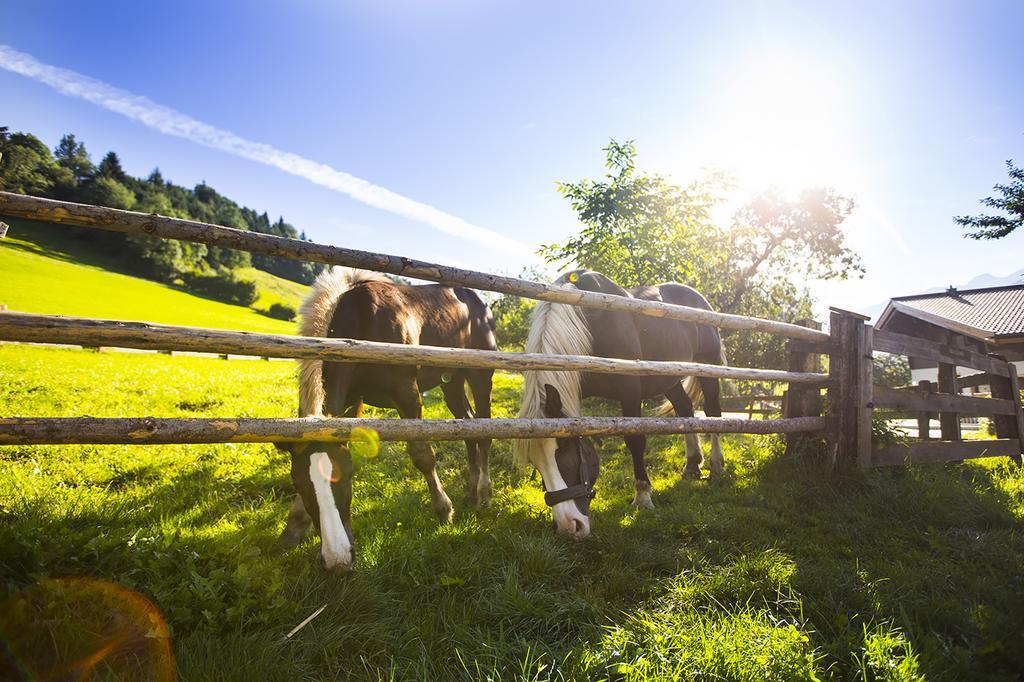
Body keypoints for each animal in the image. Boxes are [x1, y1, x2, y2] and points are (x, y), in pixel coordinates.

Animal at [274, 266, 493, 569]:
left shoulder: (408, 395)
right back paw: (471, 494)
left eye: (345, 477)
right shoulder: (351, 400)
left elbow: (423, 456)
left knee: (484, 430)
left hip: (480, 377)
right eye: (297, 484)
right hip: (451, 382)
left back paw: (483, 494)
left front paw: (443, 510)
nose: (337, 559)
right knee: (469, 425)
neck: (362, 320)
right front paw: (293, 526)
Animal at [512, 268, 729, 532]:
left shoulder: (630, 391)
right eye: (535, 463)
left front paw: (643, 496)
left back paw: (716, 466)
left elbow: (635, 441)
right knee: (685, 409)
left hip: (708, 368)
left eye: (564, 449)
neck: (591, 324)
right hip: (668, 377)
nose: (569, 526)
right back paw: (691, 465)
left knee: (713, 412)